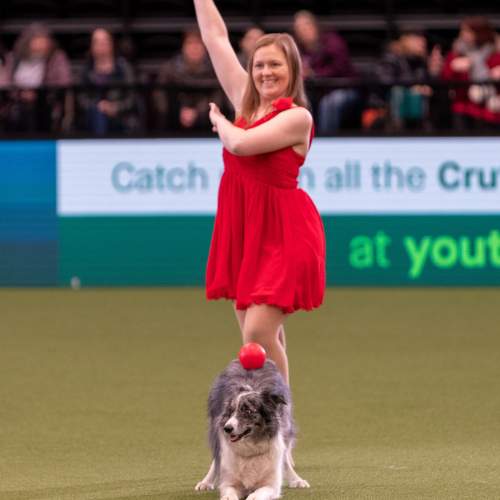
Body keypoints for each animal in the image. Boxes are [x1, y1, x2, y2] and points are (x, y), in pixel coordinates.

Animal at [194, 358, 308, 498]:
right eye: (231, 411)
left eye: (247, 411)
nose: (227, 428)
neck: (250, 448)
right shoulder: (230, 483)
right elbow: (229, 492)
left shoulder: (271, 485)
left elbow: (258, 493)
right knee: (216, 459)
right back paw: (206, 481)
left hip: (286, 426)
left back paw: (296, 479)